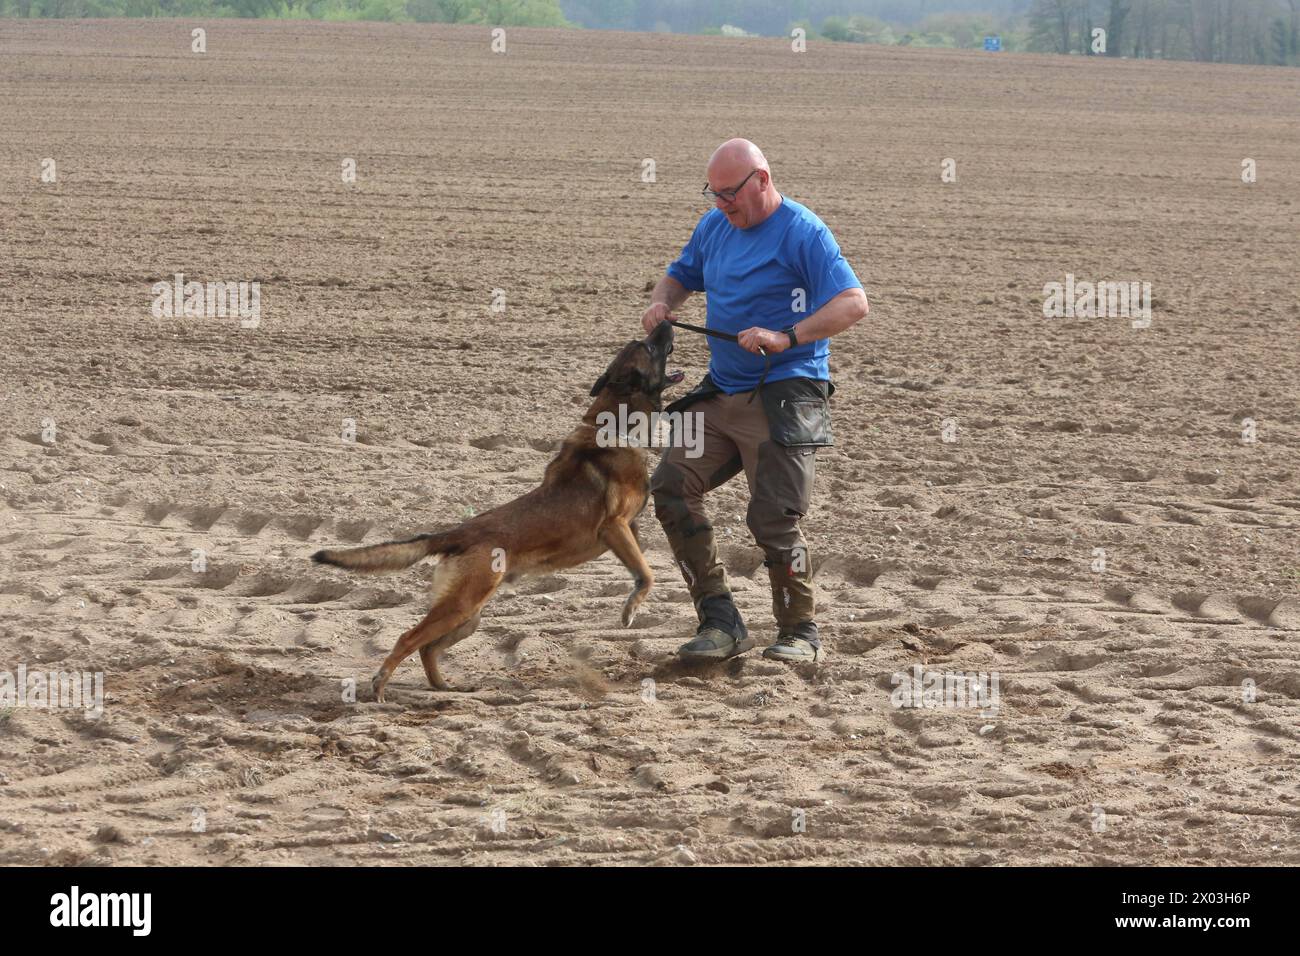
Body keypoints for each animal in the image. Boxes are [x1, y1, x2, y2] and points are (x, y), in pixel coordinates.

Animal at [313, 321, 686, 702]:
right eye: (649, 347)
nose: (665, 323)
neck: (615, 423)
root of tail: (458, 533)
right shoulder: (615, 526)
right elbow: (647, 574)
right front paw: (630, 610)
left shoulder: (628, 530)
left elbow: (643, 566)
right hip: (462, 605)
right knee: (408, 638)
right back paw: (380, 686)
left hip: (469, 614)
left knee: (427, 648)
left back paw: (444, 686)